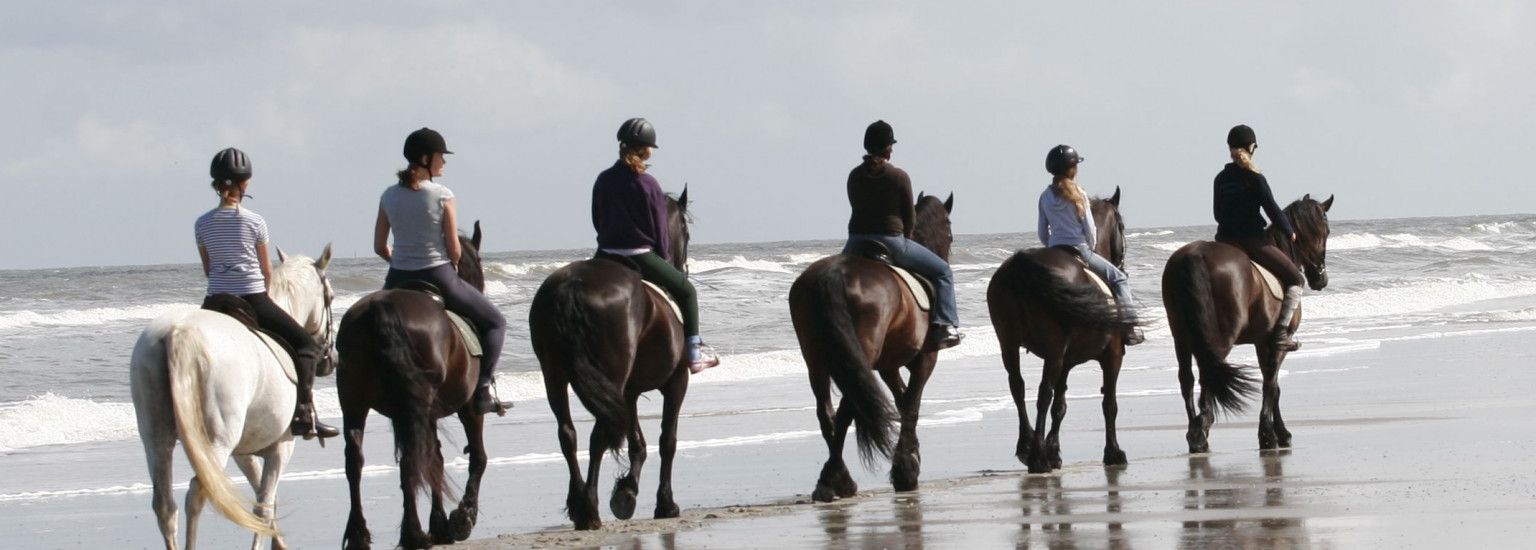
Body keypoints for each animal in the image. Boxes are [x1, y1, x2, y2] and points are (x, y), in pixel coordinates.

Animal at [130, 245, 337, 550]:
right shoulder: (281, 448)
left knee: (164, 504)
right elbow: (264, 506)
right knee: (198, 492)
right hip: (217, 440)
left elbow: (264, 500)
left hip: (155, 436)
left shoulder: (244, 453)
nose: (330, 360)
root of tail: (178, 332)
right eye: (330, 297)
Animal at [337, 221, 491, 546]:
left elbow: (435, 459)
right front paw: (460, 518)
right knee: (412, 459)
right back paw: (414, 533)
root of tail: (380, 309)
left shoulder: (422, 415)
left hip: (354, 400)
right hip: (419, 405)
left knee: (355, 460)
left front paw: (441, 523)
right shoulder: (468, 407)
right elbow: (476, 457)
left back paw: (360, 534)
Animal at [531, 188, 694, 528]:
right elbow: (667, 440)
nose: (683, 268)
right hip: (612, 377)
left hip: (554, 374)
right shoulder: (676, 382)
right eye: (685, 229)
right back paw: (590, 509)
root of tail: (572, 285)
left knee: (568, 434)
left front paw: (626, 493)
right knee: (598, 436)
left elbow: (637, 443)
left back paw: (579, 503)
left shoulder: (628, 393)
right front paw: (664, 503)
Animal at [786, 191, 952, 500]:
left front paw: (909, 457)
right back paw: (836, 480)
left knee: (827, 413)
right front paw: (906, 469)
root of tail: (834, 273)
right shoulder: (926, 358)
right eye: (949, 228)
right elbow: (911, 404)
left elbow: (902, 400)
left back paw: (833, 477)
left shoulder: (888, 365)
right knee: (846, 410)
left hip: (817, 359)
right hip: (858, 357)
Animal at [1161, 195, 1333, 454]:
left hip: (1180, 335)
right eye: (1327, 231)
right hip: (1221, 336)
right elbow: (1272, 385)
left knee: (1187, 378)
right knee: (1209, 372)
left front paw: (1274, 432)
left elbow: (1273, 385)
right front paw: (1272, 435)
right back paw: (1201, 430)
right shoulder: (1275, 343)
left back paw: (1195, 430)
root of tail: (1195, 256)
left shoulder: (1261, 342)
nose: (1321, 279)